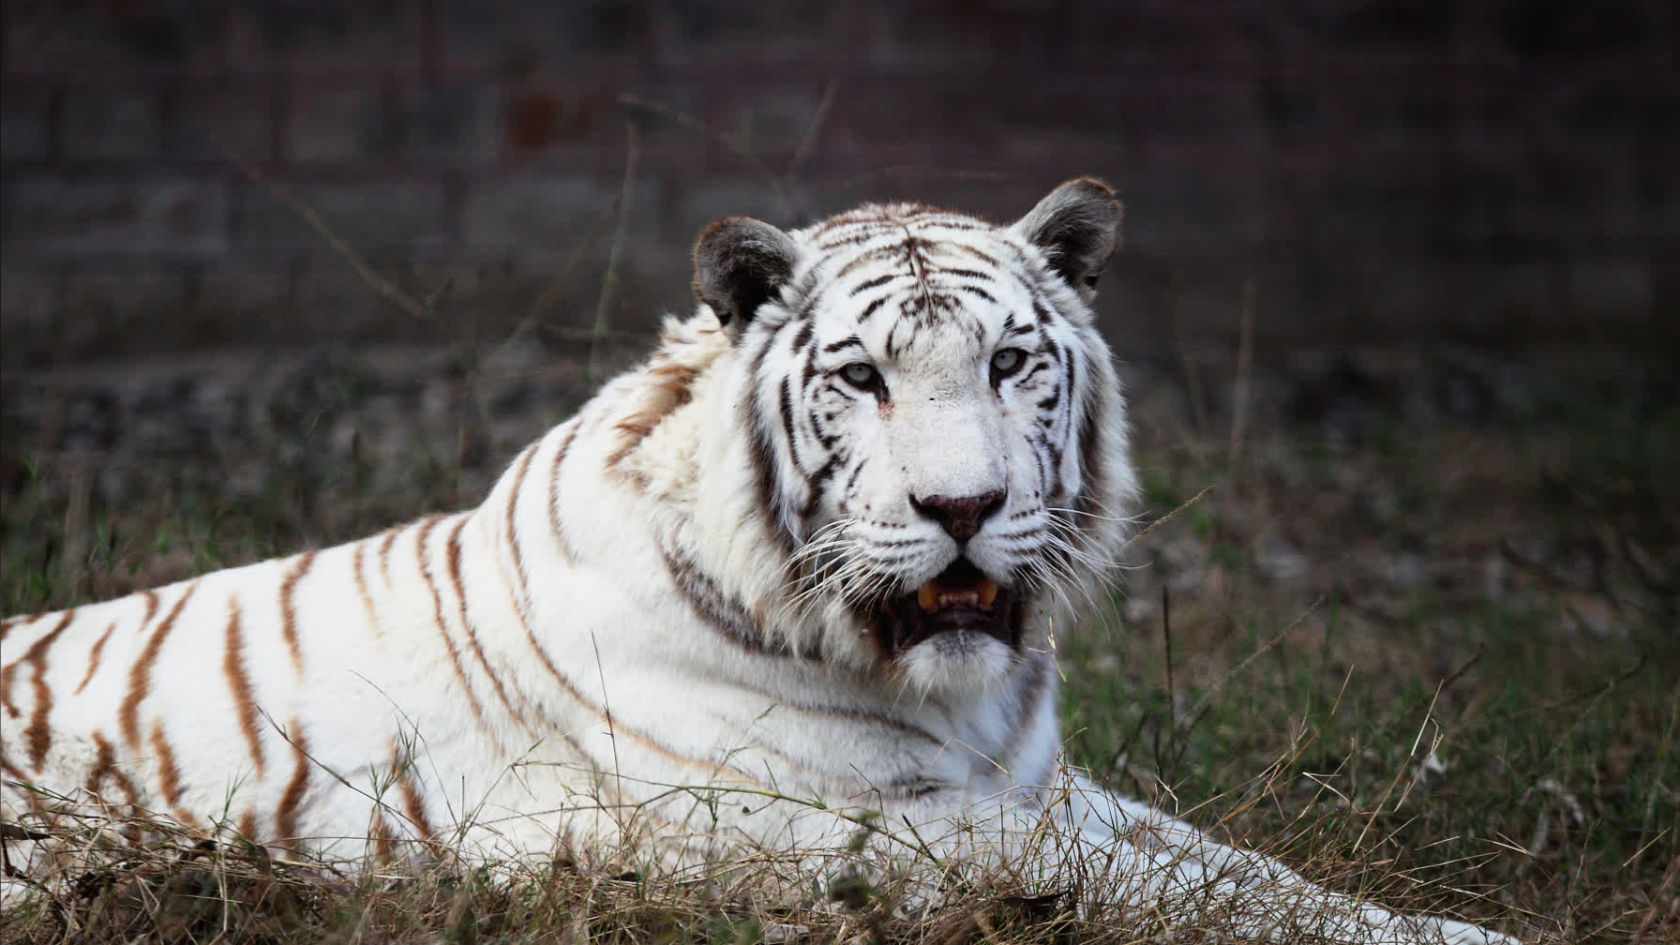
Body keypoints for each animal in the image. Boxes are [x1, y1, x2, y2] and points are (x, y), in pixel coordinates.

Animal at [0, 179, 1518, 934]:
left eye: (1011, 362)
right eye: (858, 377)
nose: (964, 505)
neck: (960, 701)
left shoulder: (1040, 787)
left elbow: (1247, 867)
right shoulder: (830, 825)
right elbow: (1190, 891)